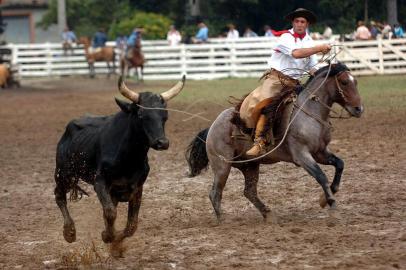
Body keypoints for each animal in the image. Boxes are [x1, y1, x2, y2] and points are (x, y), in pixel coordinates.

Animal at [186, 62, 364, 221]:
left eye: (355, 81)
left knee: (249, 192)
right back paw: (223, 221)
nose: (359, 109)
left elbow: (339, 164)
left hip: (249, 165)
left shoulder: (320, 152)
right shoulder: (302, 155)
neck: (309, 113)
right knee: (215, 193)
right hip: (222, 166)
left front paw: (325, 199)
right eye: (344, 82)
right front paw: (332, 205)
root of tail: (211, 127)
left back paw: (268, 215)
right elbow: (321, 176)